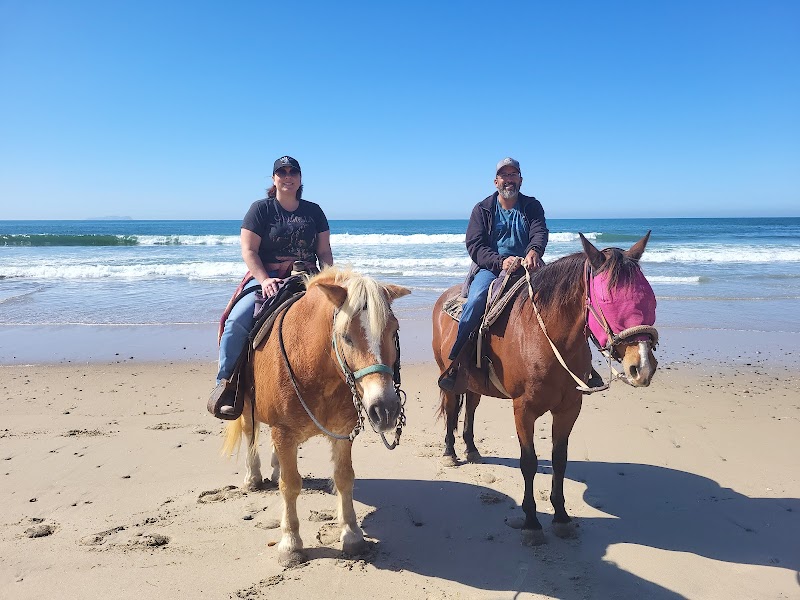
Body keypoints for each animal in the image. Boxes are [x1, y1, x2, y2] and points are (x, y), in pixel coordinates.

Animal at [223, 267, 410, 566]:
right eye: (346, 336)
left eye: (394, 331)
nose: (385, 409)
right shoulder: (283, 431)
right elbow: (290, 485)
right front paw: (291, 544)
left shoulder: (342, 433)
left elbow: (344, 478)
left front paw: (352, 535)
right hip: (247, 406)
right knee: (250, 434)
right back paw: (253, 477)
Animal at [432, 232, 658, 545]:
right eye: (608, 299)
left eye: (649, 297)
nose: (643, 365)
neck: (546, 337)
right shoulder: (523, 409)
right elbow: (528, 462)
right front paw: (531, 521)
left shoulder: (569, 408)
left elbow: (559, 460)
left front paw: (561, 517)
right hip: (449, 379)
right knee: (453, 409)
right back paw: (450, 452)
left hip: (474, 384)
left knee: (472, 408)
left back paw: (472, 449)